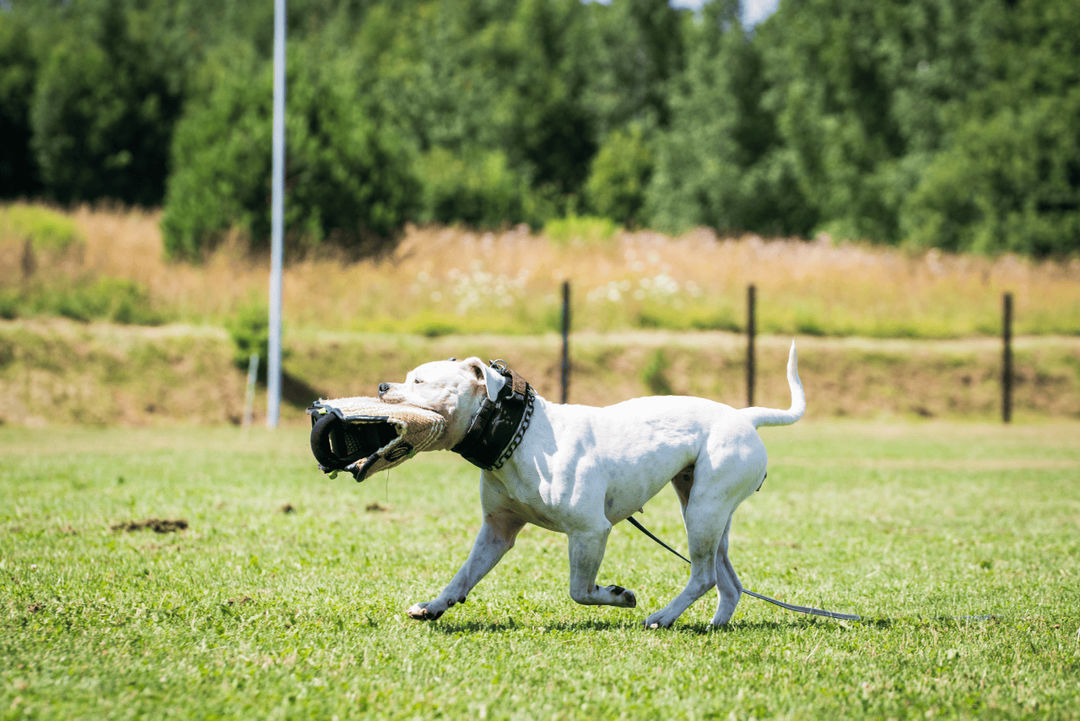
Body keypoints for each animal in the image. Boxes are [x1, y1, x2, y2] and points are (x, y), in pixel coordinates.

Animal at [375, 341, 807, 626]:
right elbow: (463, 575)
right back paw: (715, 625)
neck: (518, 435)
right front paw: (434, 606)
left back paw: (663, 616)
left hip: (704, 512)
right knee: (727, 582)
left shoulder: (589, 532)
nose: (381, 386)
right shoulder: (496, 533)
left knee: (703, 576)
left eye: (419, 380)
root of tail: (745, 417)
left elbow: (579, 591)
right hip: (708, 514)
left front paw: (618, 595)